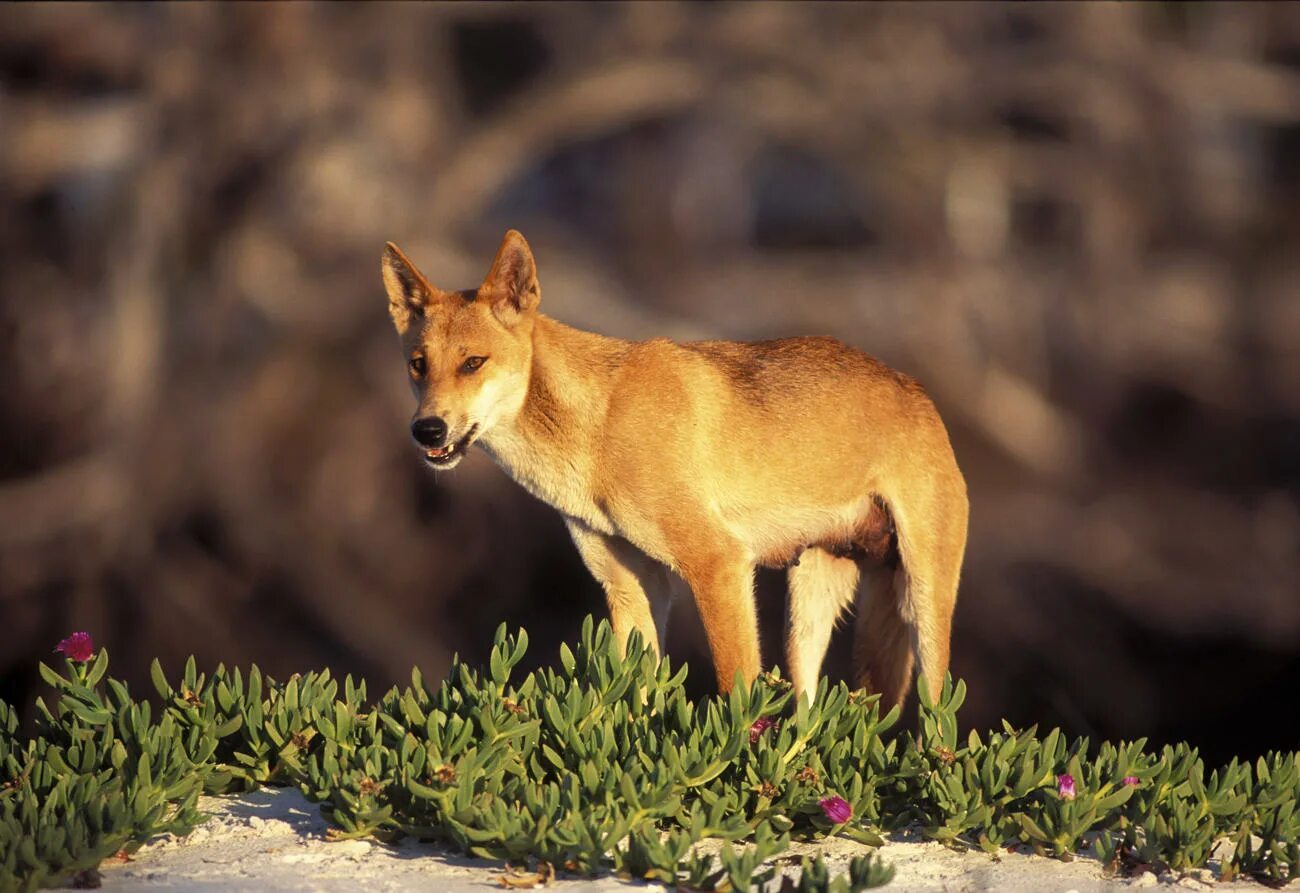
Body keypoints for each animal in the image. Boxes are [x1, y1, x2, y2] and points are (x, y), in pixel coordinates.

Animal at [379, 232, 967, 712]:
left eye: (473, 363)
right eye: (418, 365)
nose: (427, 430)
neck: (597, 428)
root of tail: (918, 391)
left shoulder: (719, 563)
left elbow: (736, 691)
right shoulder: (630, 586)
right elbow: (630, 699)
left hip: (924, 603)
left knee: (938, 716)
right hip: (807, 613)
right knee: (807, 709)